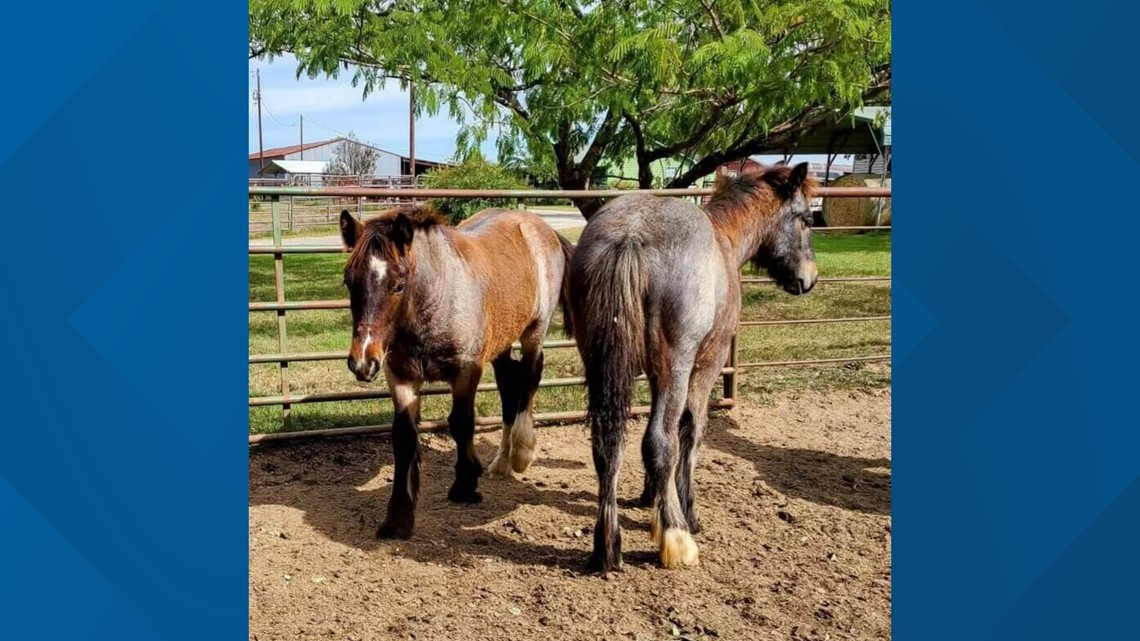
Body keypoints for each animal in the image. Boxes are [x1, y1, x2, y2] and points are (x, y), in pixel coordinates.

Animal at [338, 205, 574, 539]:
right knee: (508, 384)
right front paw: (398, 517)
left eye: (398, 284)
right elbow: (404, 437)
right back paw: (501, 463)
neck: (435, 301)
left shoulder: (466, 372)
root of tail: (540, 226)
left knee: (529, 376)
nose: (363, 362)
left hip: (534, 331)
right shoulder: (402, 377)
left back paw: (521, 453)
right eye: (349, 281)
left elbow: (461, 424)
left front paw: (464, 485)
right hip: (502, 341)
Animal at [567, 162, 819, 571]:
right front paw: (685, 510)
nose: (809, 278)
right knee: (658, 441)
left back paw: (607, 547)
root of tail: (630, 235)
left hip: (600, 362)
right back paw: (676, 535)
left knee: (608, 444)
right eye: (807, 219)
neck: (724, 240)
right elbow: (690, 431)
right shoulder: (705, 368)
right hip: (677, 367)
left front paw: (650, 496)